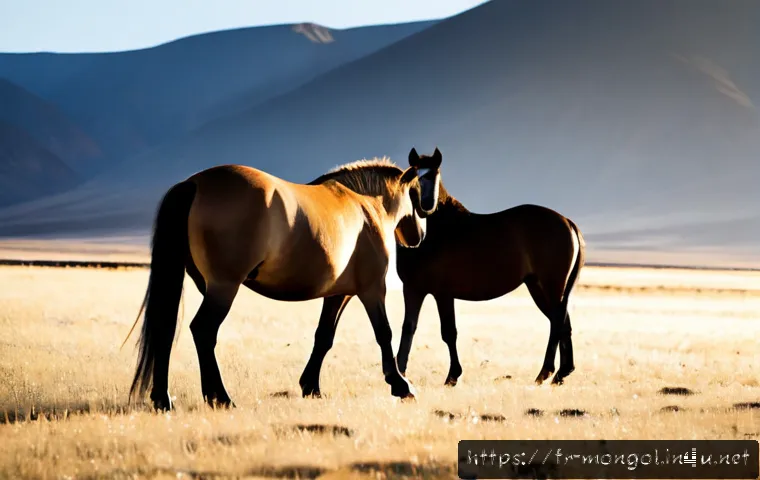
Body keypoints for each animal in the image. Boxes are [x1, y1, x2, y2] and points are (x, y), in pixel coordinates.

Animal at [124, 151, 443, 411]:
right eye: (417, 193)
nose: (420, 236)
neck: (364, 204)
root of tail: (193, 184)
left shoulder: (337, 295)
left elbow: (323, 337)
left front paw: (311, 386)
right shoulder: (372, 289)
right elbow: (384, 333)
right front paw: (401, 384)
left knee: (166, 331)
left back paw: (165, 399)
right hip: (223, 287)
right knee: (203, 331)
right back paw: (221, 398)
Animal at [395, 148, 585, 387]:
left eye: (435, 174)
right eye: (413, 176)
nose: (426, 205)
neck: (433, 234)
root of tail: (567, 221)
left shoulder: (442, 293)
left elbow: (448, 332)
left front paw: (452, 376)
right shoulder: (413, 289)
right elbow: (408, 327)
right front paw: (400, 374)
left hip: (551, 287)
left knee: (557, 323)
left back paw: (545, 373)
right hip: (540, 287)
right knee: (561, 322)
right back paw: (560, 374)